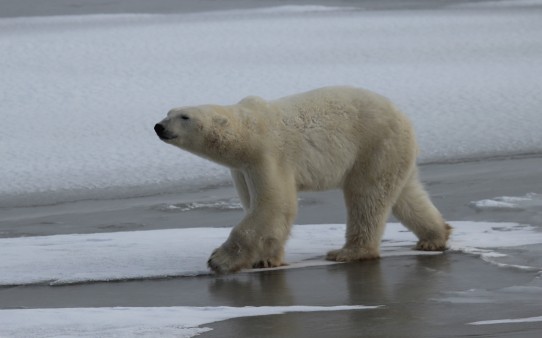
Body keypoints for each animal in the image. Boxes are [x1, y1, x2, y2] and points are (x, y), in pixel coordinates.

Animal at [155, 86, 452, 274]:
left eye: (184, 116)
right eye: (168, 112)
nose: (159, 126)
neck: (249, 133)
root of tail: (402, 116)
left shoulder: (269, 155)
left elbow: (273, 206)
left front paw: (219, 260)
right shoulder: (242, 169)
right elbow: (260, 207)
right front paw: (267, 259)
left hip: (373, 145)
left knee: (367, 198)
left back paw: (348, 252)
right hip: (393, 153)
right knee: (405, 195)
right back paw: (435, 237)